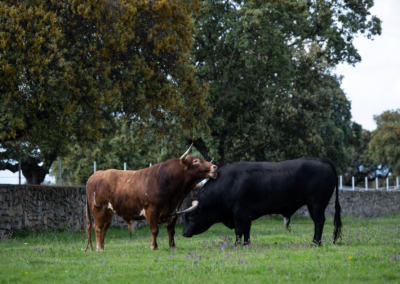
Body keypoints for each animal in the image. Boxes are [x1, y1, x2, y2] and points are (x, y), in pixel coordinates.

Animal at [83, 144, 217, 251]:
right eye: (196, 161)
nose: (214, 167)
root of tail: (95, 175)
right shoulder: (151, 211)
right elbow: (154, 230)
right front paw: (154, 247)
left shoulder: (174, 212)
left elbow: (171, 230)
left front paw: (172, 246)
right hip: (99, 210)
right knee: (98, 228)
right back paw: (99, 248)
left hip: (109, 212)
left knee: (104, 228)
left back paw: (102, 247)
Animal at [183, 156, 342, 245]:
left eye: (190, 215)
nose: (183, 233)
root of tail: (321, 160)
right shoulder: (246, 214)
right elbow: (246, 230)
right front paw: (246, 244)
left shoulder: (239, 212)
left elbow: (239, 230)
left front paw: (237, 245)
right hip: (312, 204)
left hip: (318, 203)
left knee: (319, 221)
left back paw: (316, 243)